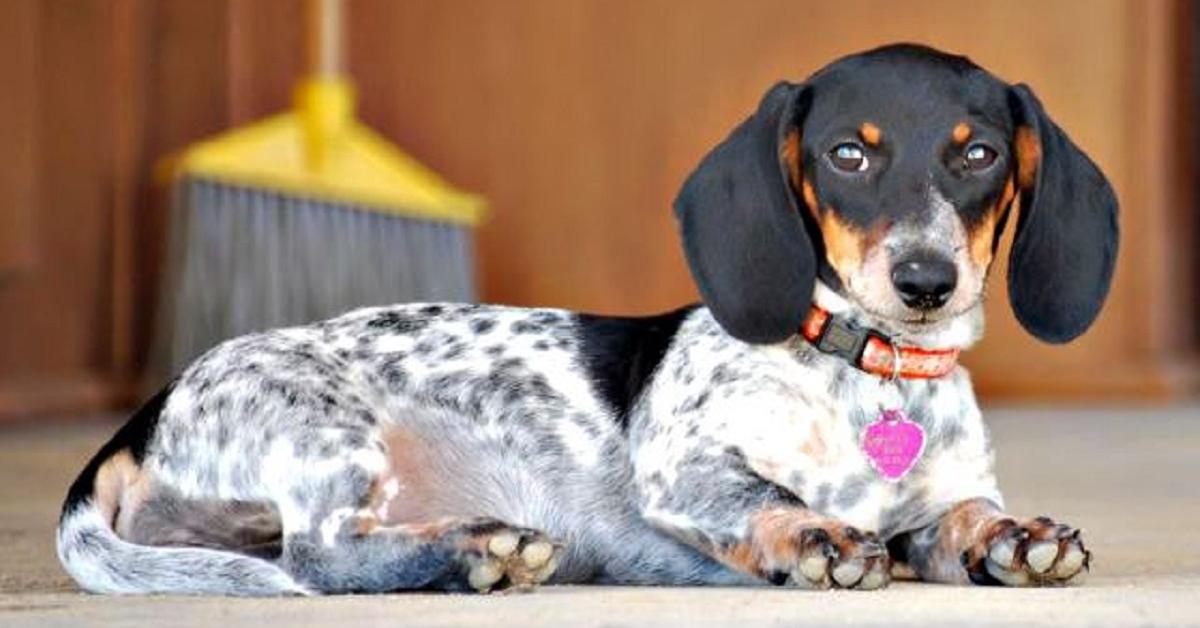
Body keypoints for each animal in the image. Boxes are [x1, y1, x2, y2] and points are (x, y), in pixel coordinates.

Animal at [60, 44, 1113, 595]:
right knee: (320, 556)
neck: (867, 379)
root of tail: (145, 414)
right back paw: (478, 549)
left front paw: (1013, 536)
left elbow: (961, 515)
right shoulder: (685, 469)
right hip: (326, 430)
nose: (926, 280)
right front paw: (814, 537)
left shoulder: (929, 508)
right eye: (847, 155)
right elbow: (767, 497)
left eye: (977, 155)